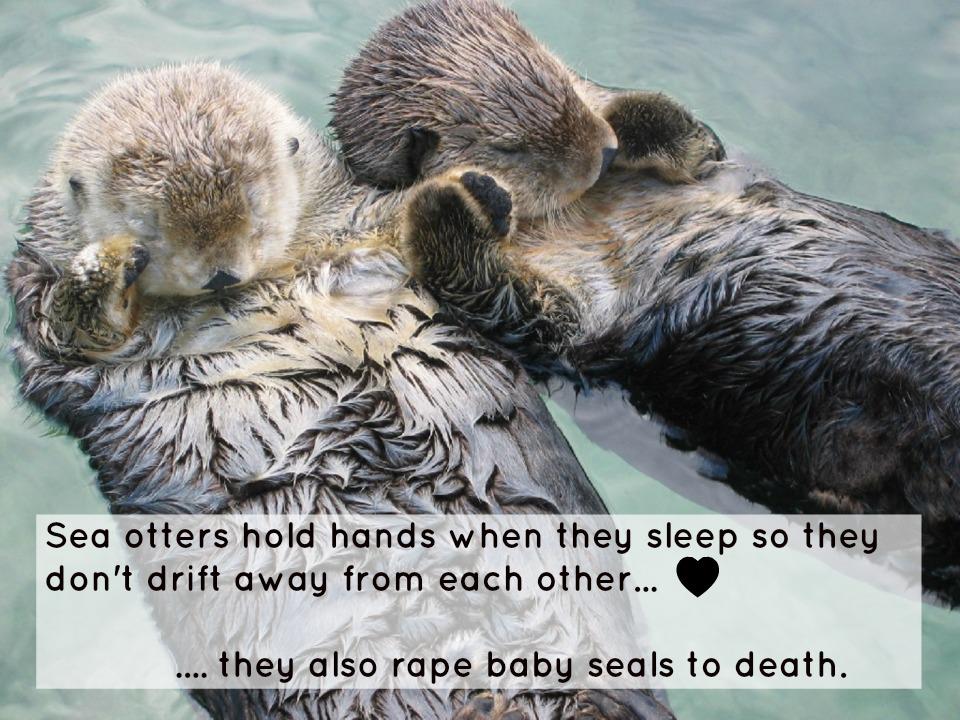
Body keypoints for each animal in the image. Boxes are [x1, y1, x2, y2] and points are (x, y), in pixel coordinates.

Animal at [6, 63, 674, 720]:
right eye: (150, 227)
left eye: (255, 206)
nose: (221, 273)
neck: (272, 281)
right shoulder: (48, 329)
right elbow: (70, 329)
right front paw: (110, 262)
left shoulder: (359, 230)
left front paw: (477, 188)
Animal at [332, 0, 960, 602]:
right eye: (511, 147)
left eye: (562, 77)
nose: (605, 153)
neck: (582, 211)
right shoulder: (561, 322)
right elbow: (500, 298)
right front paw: (453, 196)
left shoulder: (708, 163)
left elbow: (698, 137)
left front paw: (631, 121)